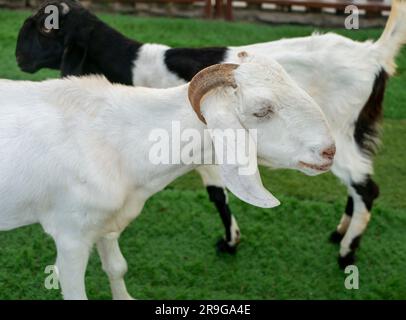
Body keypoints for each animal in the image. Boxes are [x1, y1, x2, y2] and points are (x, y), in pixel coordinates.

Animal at [15, 0, 406, 268]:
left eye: (46, 29)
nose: (19, 59)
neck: (131, 66)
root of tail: (373, 54)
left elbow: (217, 193)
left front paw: (230, 243)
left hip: (337, 129)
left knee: (366, 187)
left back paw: (347, 253)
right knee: (358, 183)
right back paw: (341, 232)